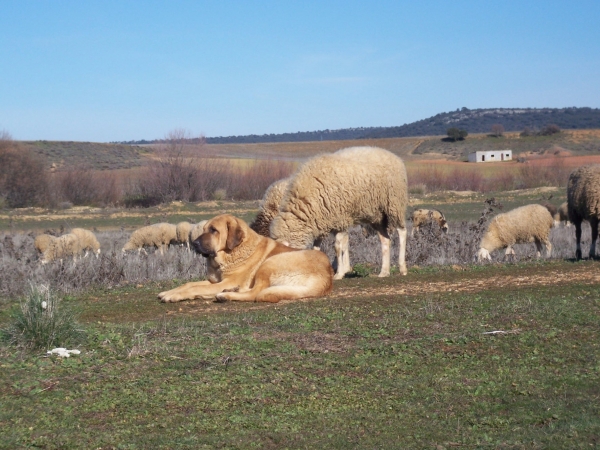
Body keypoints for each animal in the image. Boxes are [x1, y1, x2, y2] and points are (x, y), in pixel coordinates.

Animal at [157, 214, 336, 302]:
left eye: (214, 230)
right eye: (204, 229)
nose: (194, 243)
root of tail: (326, 279)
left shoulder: (225, 282)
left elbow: (195, 288)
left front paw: (173, 296)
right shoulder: (215, 281)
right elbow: (189, 284)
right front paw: (169, 291)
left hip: (270, 263)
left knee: (255, 293)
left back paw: (226, 295)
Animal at [270, 146, 408, 278]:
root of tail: (394, 156)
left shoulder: (341, 218)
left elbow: (337, 246)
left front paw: (339, 273)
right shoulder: (321, 221)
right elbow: (317, 248)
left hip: (394, 204)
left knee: (402, 231)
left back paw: (402, 268)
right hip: (377, 215)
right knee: (385, 240)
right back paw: (384, 272)